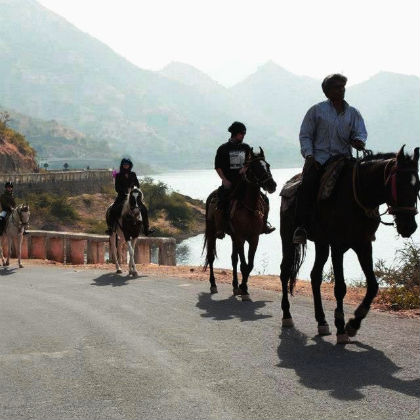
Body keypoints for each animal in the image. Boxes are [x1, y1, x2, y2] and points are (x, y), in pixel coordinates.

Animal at [204, 148, 278, 298]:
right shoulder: (240, 237)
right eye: (255, 167)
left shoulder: (253, 238)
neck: (248, 208)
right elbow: (244, 265)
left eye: (268, 165)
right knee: (211, 257)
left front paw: (243, 287)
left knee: (233, 259)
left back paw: (235, 286)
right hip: (212, 232)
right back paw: (213, 284)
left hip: (233, 237)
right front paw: (244, 290)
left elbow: (249, 265)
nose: (272, 185)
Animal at [280, 146, 418, 342]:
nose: (409, 227)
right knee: (285, 272)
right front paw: (341, 327)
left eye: (417, 185)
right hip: (288, 239)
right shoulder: (338, 246)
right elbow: (340, 287)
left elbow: (373, 286)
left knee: (315, 276)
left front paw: (353, 323)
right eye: (399, 184)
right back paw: (287, 316)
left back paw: (322, 321)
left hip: (322, 244)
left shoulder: (364, 245)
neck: (358, 195)